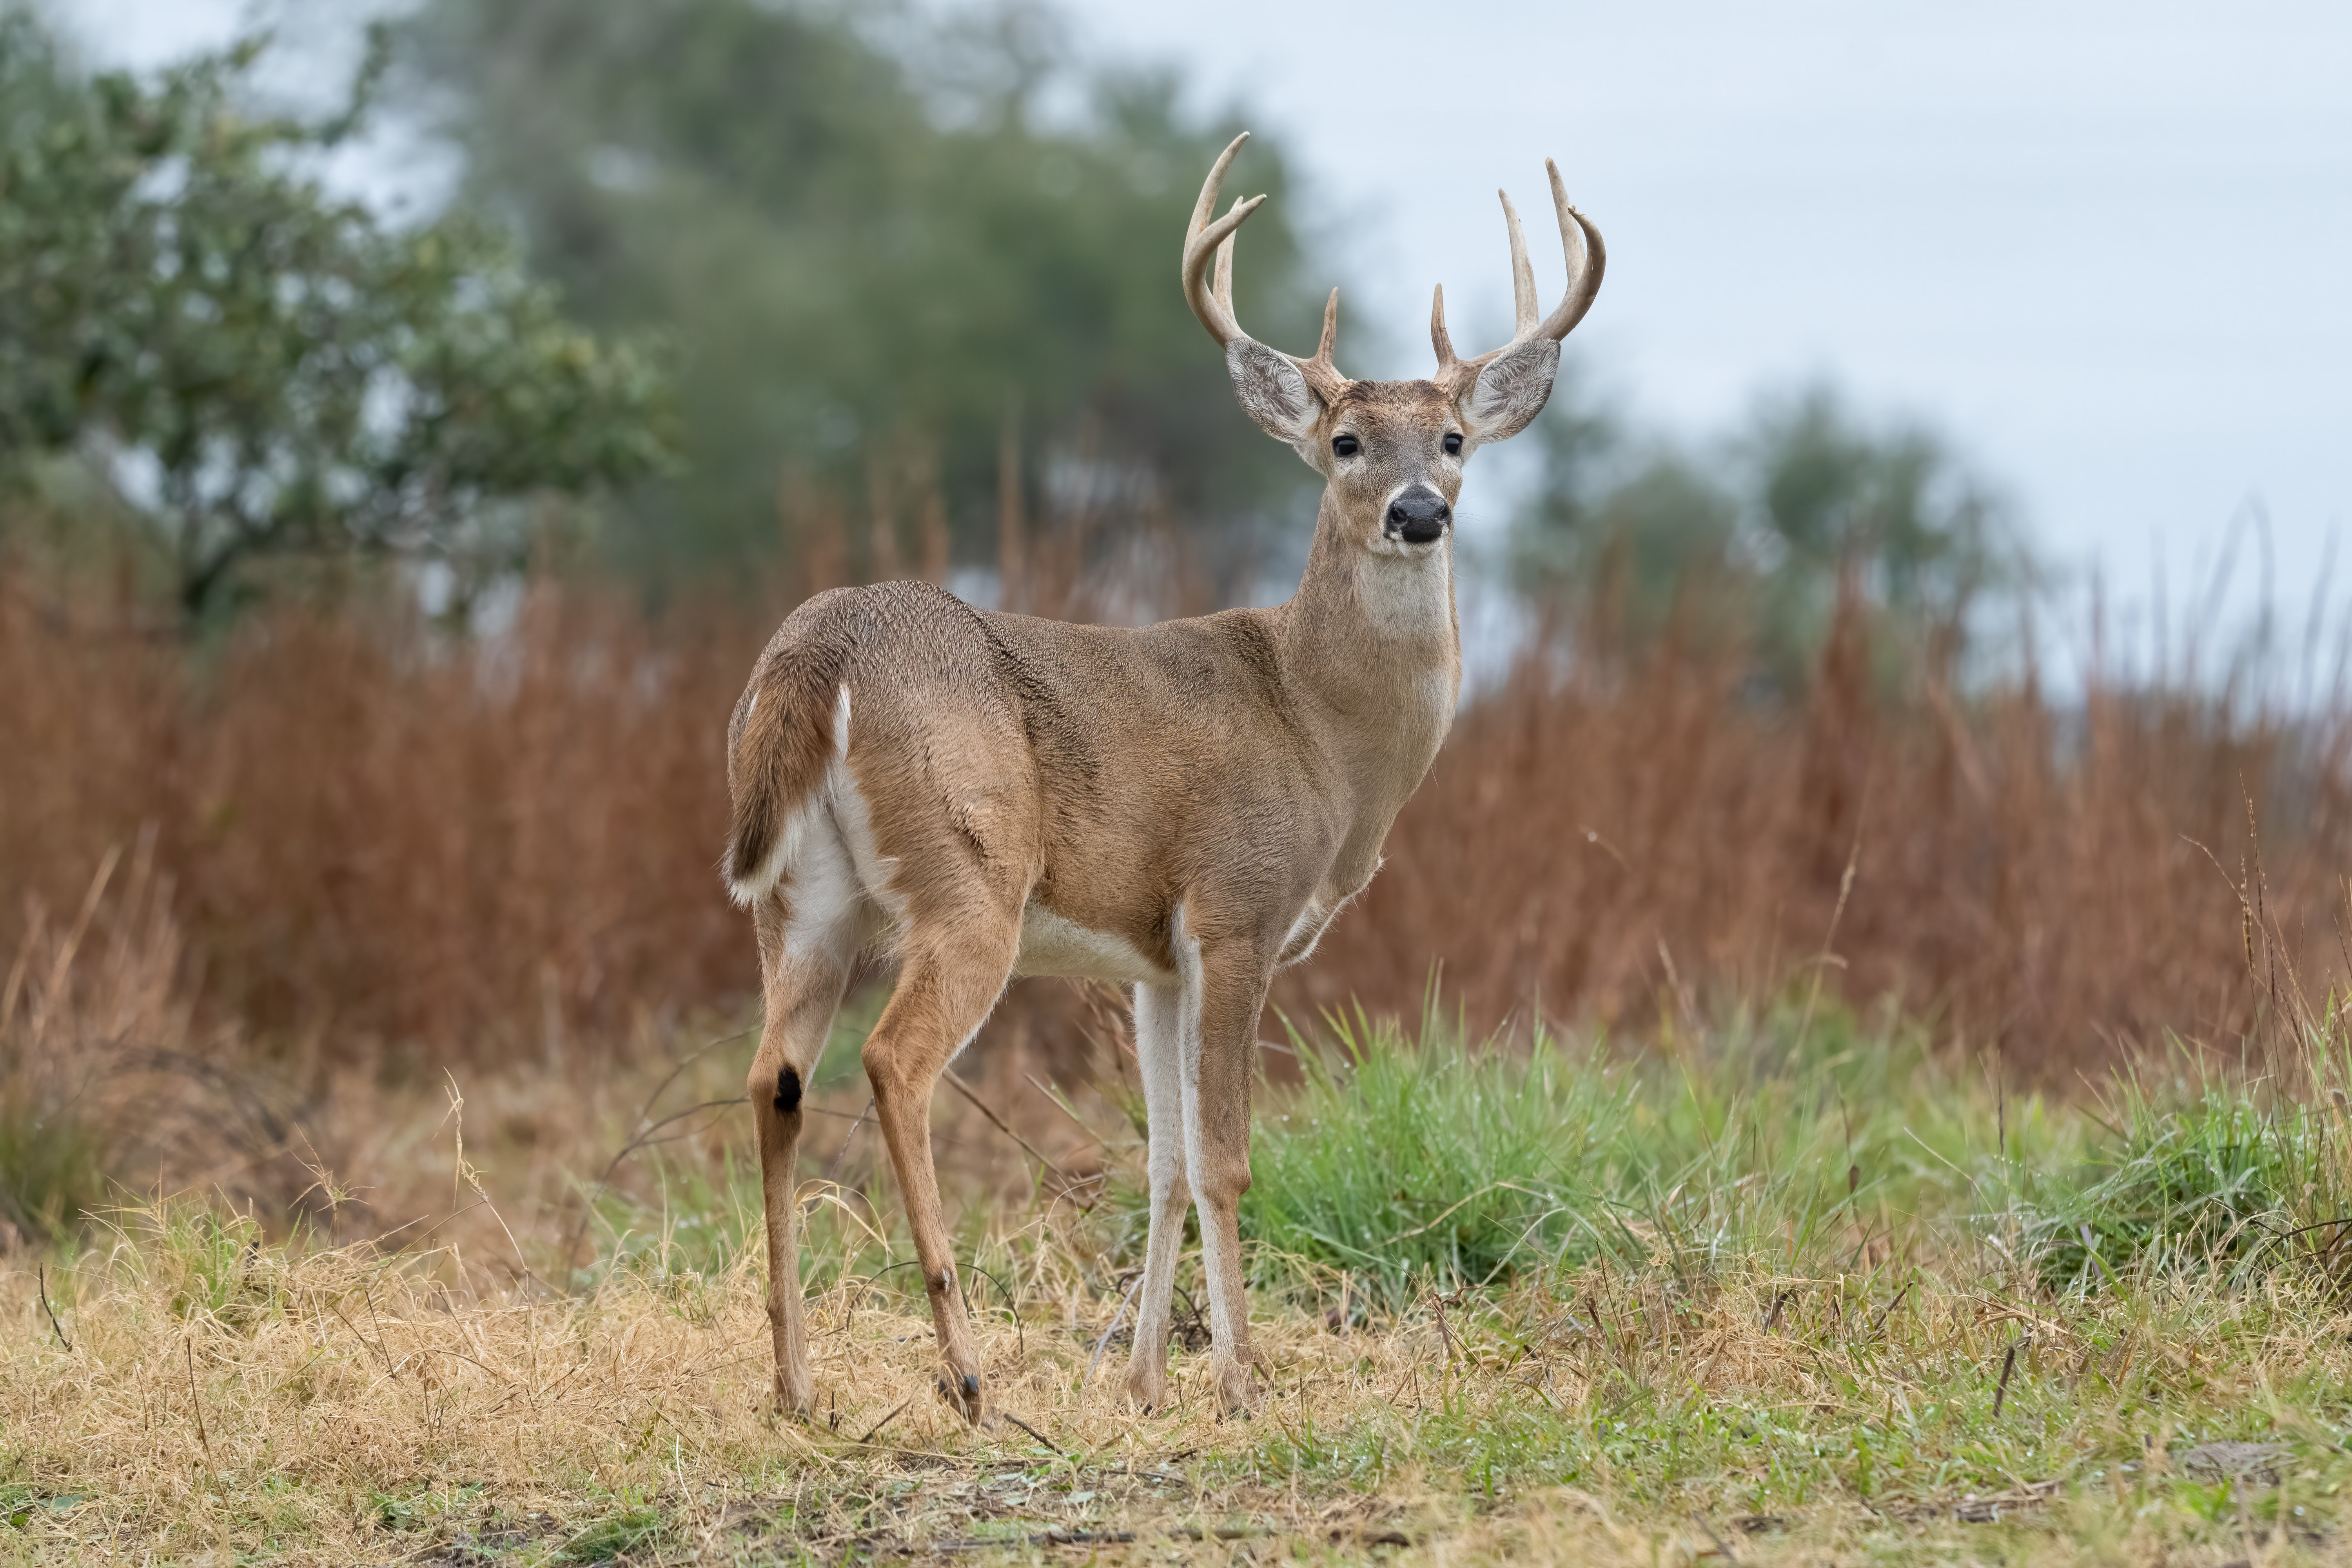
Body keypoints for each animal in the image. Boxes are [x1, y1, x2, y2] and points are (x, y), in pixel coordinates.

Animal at [722, 132, 1603, 1425]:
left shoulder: (1151, 961)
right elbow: (1227, 1157)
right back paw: (966, 1371)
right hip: (966, 876)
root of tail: (817, 649)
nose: (1418, 513)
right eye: (1345, 443)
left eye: (1450, 441)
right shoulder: (1236, 912)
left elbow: (1164, 1158)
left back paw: (794, 1386)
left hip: (801, 901)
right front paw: (1240, 1380)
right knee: (891, 1062)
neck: (1318, 729)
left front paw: (1144, 1380)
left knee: (773, 1075)